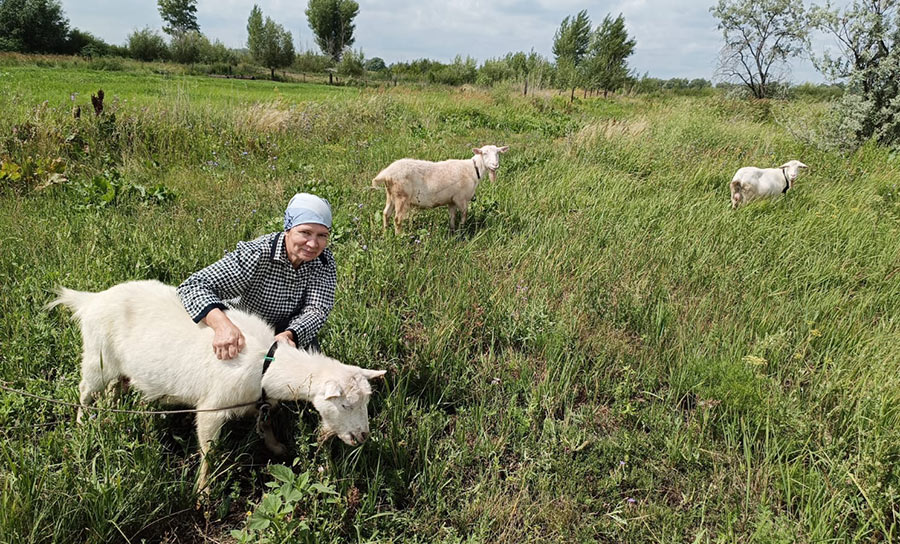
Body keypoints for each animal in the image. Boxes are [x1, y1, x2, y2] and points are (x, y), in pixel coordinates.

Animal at [48, 280, 386, 492]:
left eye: (365, 402)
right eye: (345, 404)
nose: (362, 436)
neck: (265, 364)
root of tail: (90, 300)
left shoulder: (258, 401)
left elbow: (266, 423)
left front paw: (277, 447)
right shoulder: (213, 408)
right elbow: (209, 451)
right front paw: (203, 493)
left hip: (117, 369)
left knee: (112, 393)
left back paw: (114, 419)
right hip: (97, 359)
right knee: (84, 392)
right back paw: (83, 426)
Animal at [370, 143, 510, 233]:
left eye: (498, 153)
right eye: (484, 153)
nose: (495, 165)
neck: (473, 169)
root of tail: (387, 173)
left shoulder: (452, 200)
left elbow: (452, 216)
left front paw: (453, 230)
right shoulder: (461, 198)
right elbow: (464, 214)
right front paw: (462, 229)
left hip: (391, 195)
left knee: (386, 213)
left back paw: (385, 232)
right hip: (401, 196)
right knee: (397, 219)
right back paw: (399, 236)